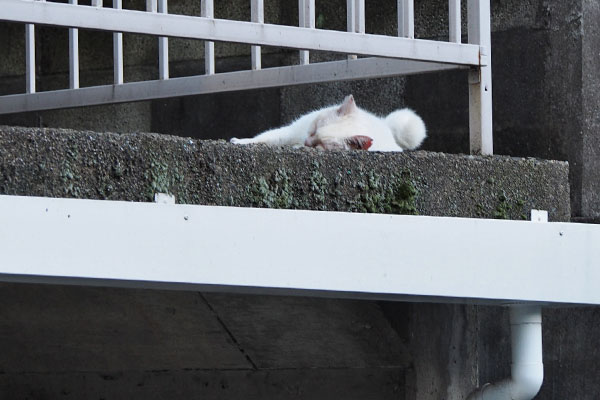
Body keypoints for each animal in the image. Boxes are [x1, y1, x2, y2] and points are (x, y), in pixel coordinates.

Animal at [230, 94, 426, 152]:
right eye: (314, 129)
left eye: (321, 144)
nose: (306, 142)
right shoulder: (291, 131)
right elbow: (264, 137)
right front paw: (239, 141)